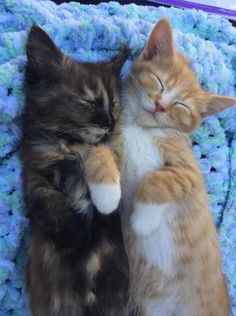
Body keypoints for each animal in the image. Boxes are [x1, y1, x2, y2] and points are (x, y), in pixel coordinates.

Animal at [20, 25, 129, 316]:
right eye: (90, 102)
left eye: (114, 105)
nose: (109, 123)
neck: (72, 144)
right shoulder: (35, 173)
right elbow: (45, 199)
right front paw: (72, 234)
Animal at [85, 19, 236, 316]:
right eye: (159, 81)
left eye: (181, 105)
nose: (159, 105)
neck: (141, 128)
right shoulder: (113, 143)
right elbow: (99, 154)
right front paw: (107, 196)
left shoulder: (189, 171)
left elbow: (159, 180)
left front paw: (143, 220)